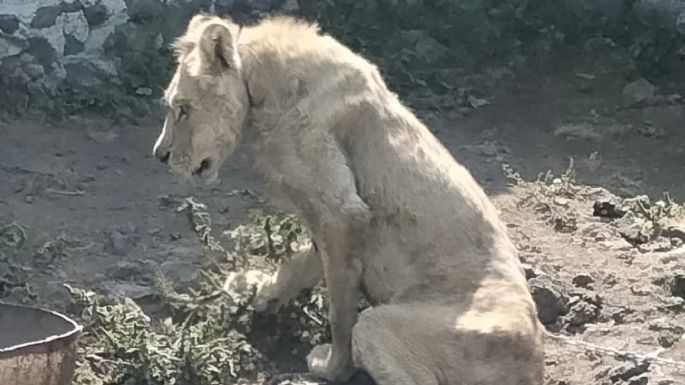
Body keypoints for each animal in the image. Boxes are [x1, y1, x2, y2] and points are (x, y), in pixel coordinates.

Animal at [152, 14, 544, 384]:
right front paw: (256, 291)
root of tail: (533, 361)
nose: (160, 155)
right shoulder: (327, 219)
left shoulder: (342, 212)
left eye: (183, 108)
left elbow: (340, 312)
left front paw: (331, 366)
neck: (261, 84)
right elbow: (296, 265)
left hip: (380, 325)